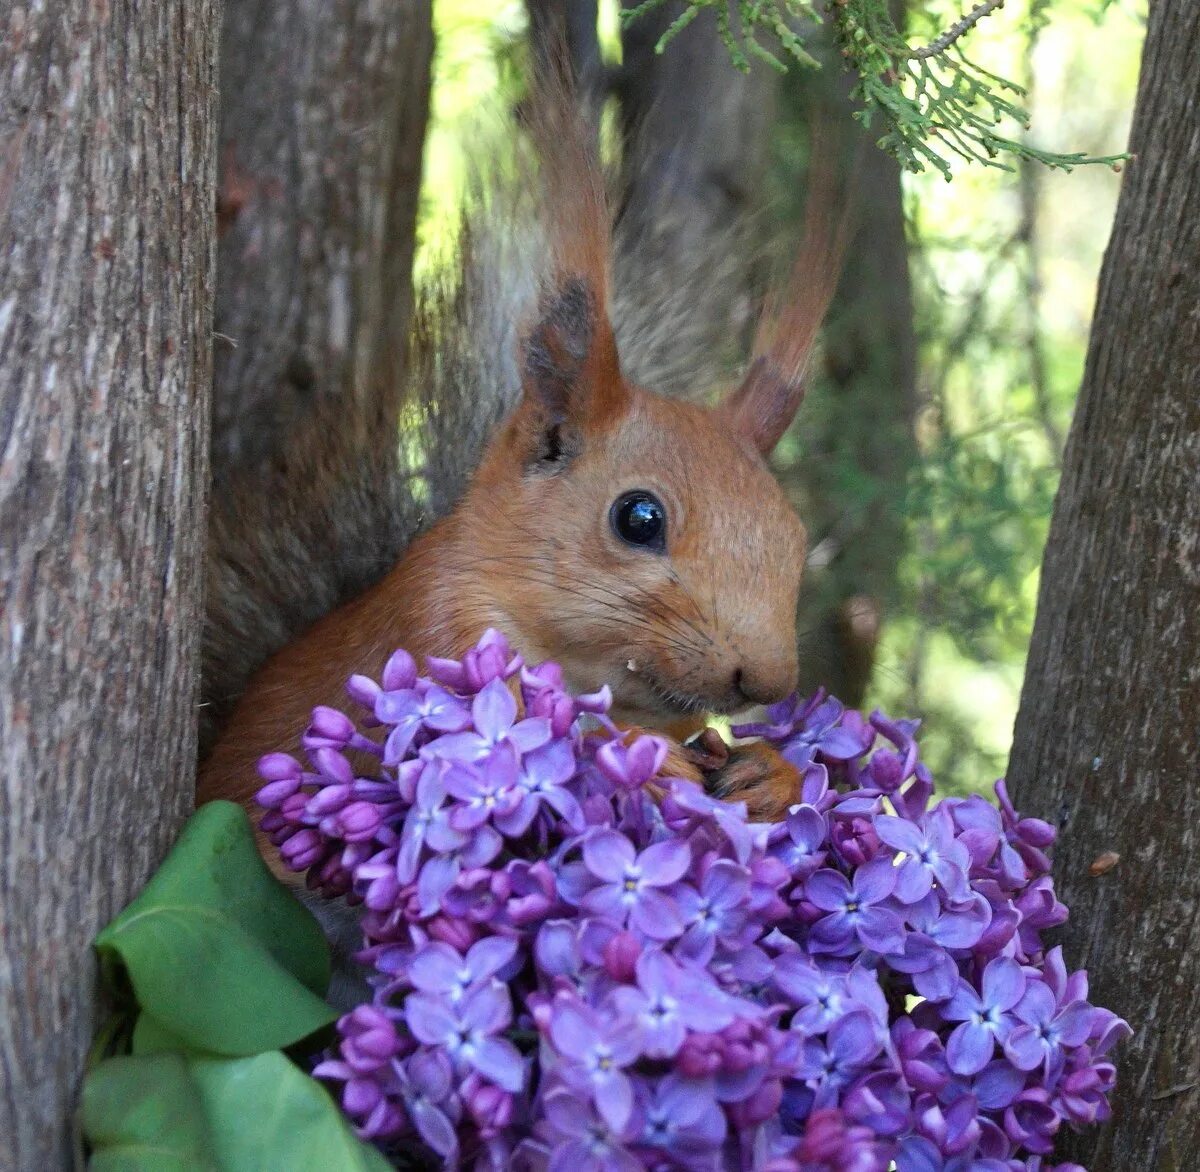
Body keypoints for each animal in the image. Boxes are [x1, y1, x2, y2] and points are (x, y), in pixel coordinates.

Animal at [196, 73, 844, 878]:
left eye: (794, 535)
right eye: (639, 518)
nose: (767, 682)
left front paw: (772, 776)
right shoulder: (433, 638)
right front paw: (643, 757)